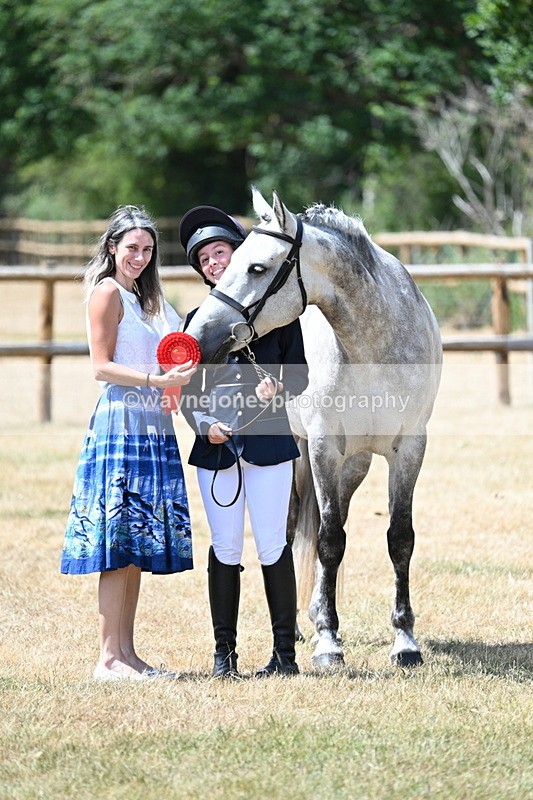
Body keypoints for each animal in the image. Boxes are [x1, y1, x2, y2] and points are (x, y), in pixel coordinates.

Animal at [185, 187, 442, 668]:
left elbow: (399, 538)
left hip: (353, 465)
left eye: (256, 267)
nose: (199, 337)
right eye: (228, 261)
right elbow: (328, 540)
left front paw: (405, 641)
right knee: (291, 530)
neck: (372, 346)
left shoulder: (409, 449)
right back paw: (308, 628)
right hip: (300, 455)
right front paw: (329, 643)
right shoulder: (324, 447)